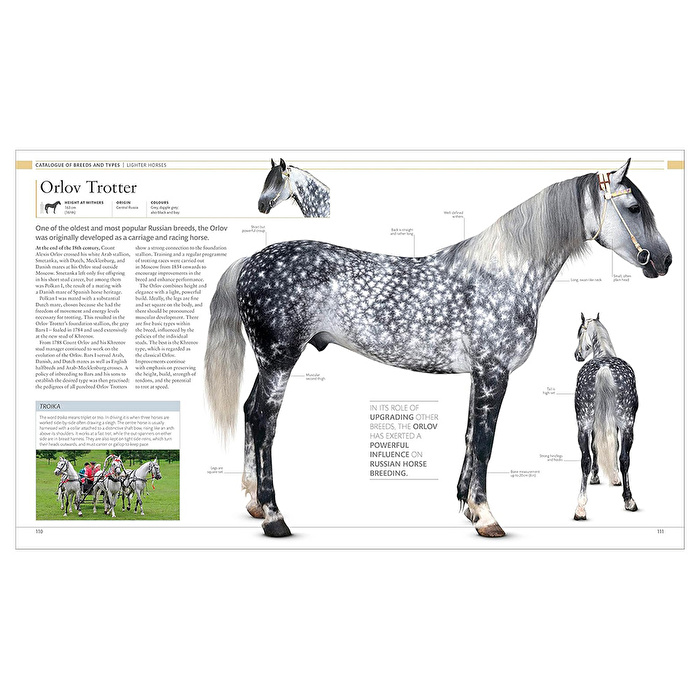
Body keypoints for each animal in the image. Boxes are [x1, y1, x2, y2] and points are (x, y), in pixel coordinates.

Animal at [573, 314, 639, 520]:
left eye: (579, 332)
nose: (577, 355)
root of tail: (604, 367)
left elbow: (599, 449)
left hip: (586, 424)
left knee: (588, 459)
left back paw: (581, 508)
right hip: (624, 424)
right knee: (622, 458)